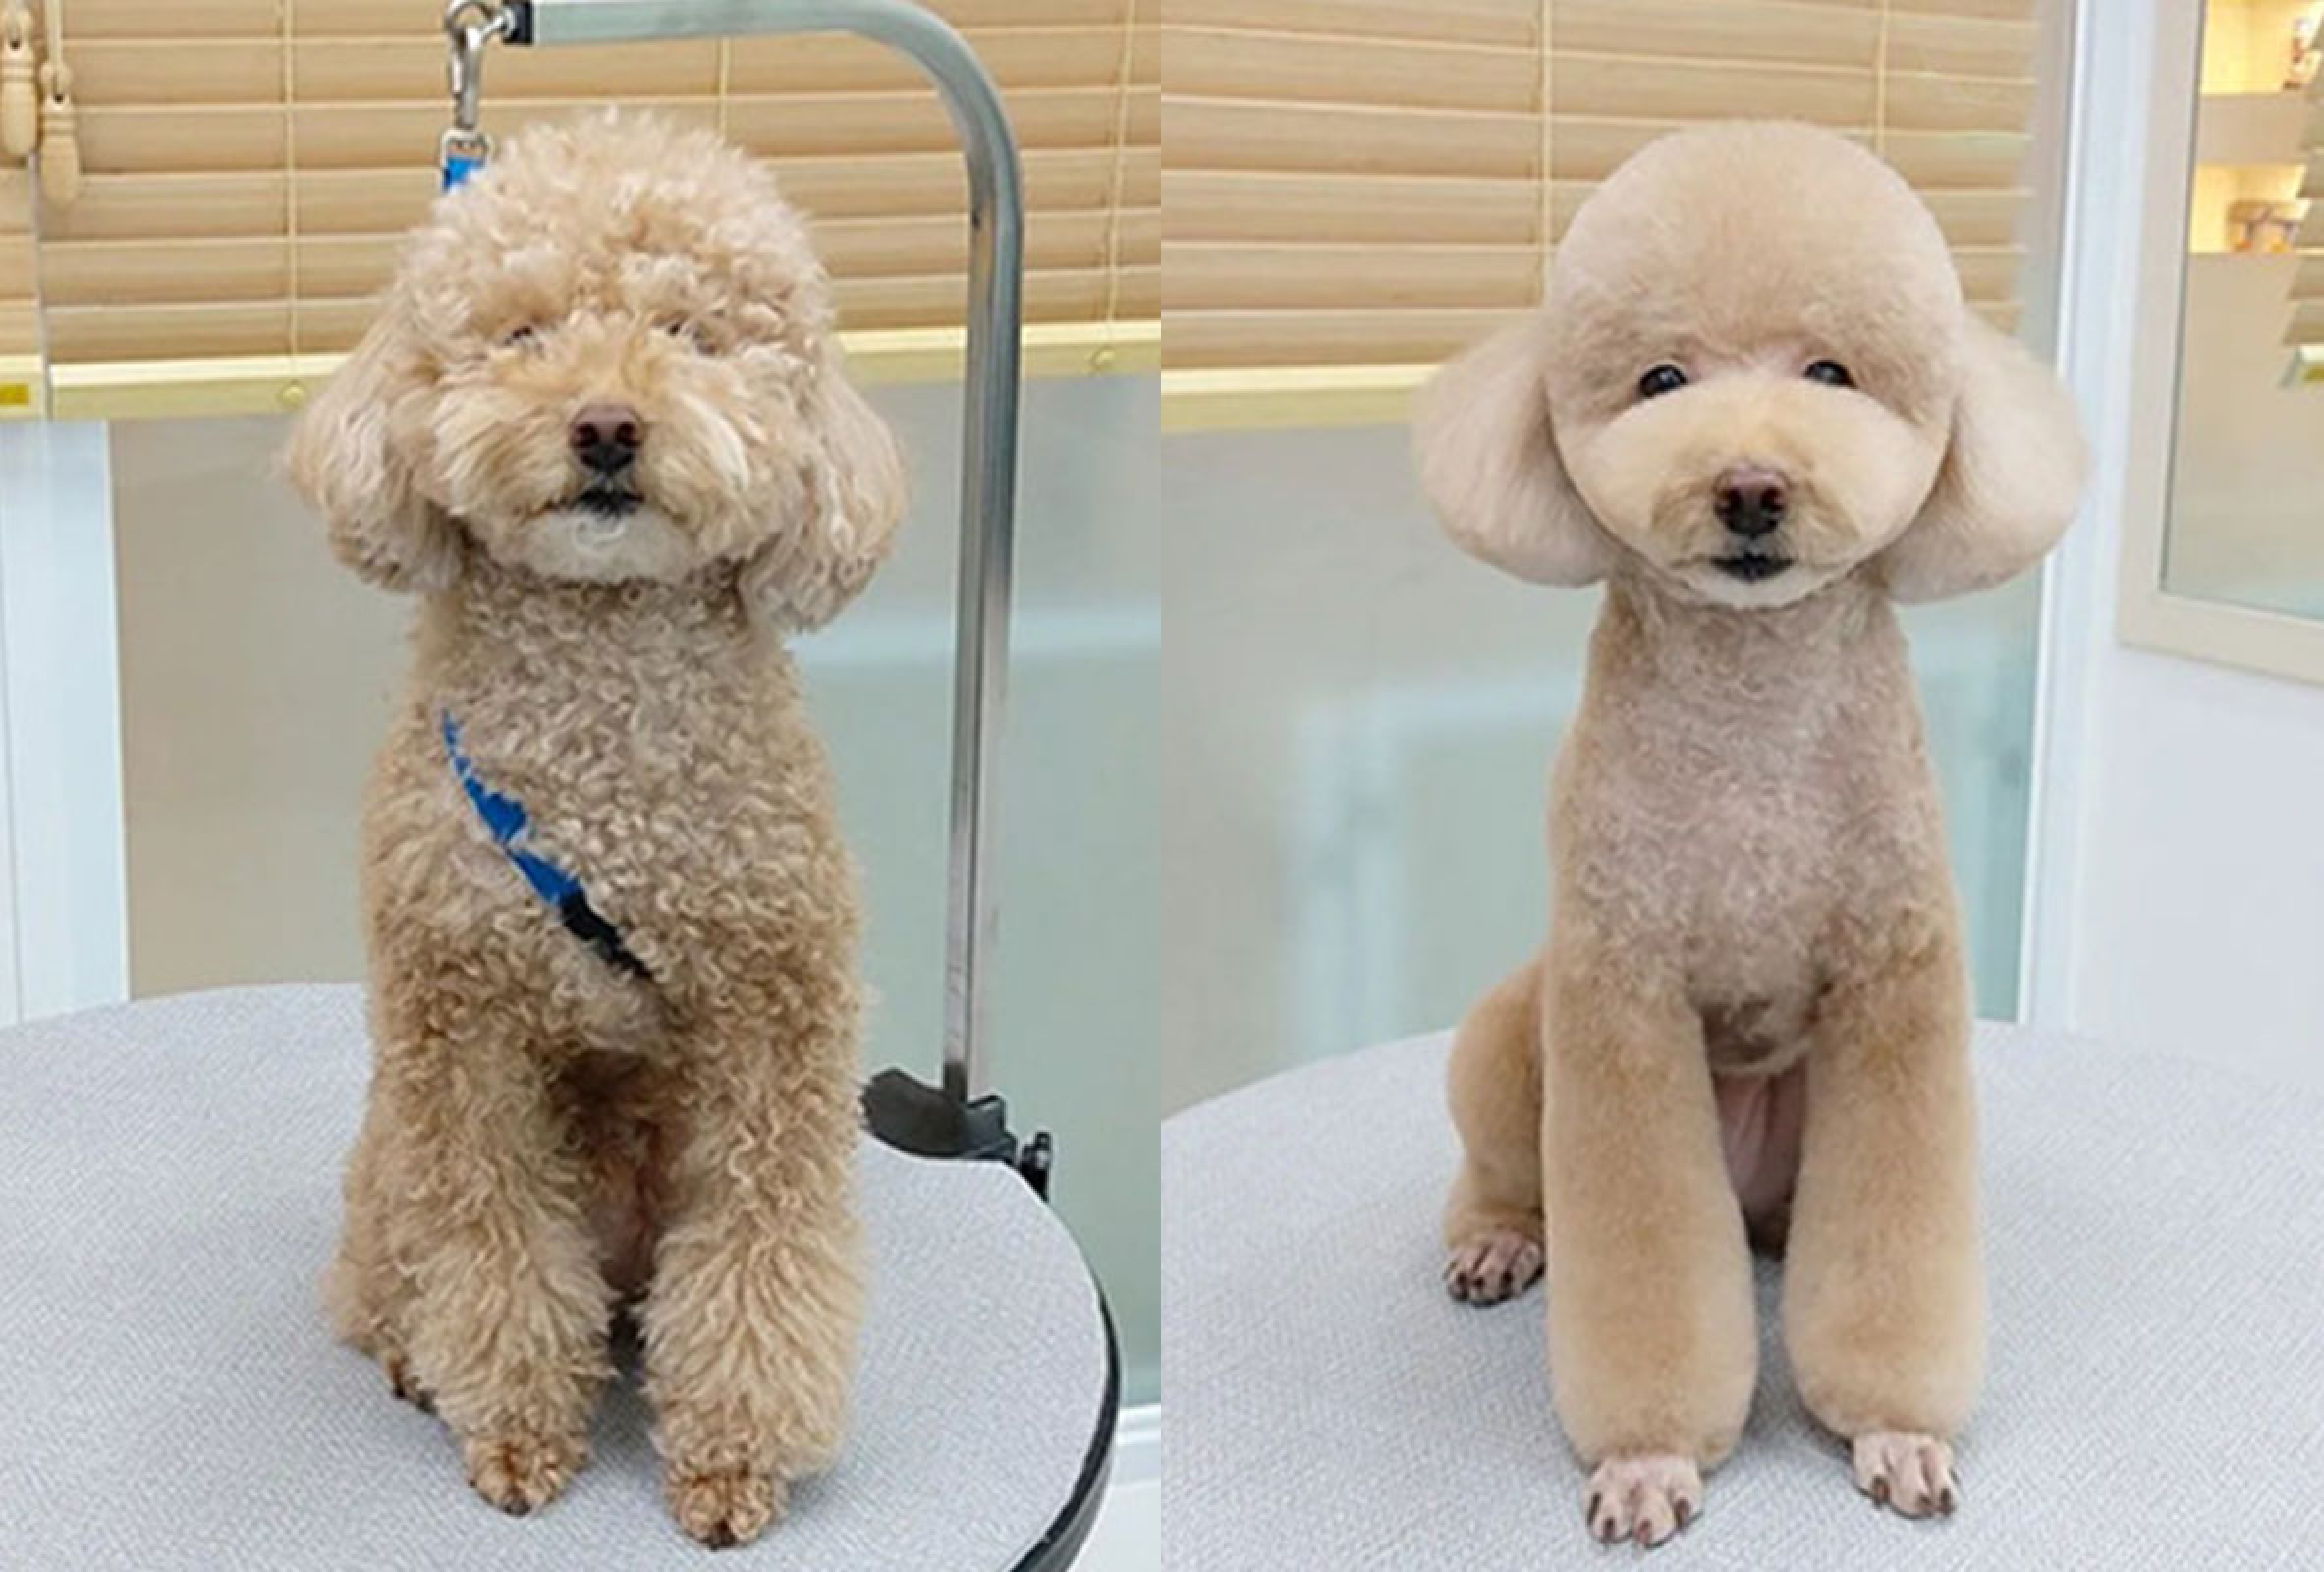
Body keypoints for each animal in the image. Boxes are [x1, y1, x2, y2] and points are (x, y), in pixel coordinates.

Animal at [284, 111, 905, 1548]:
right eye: (522, 334)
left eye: (690, 333)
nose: (607, 424)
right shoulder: (461, 1033)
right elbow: (492, 1242)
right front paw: (514, 1426)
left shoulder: (774, 1020)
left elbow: (761, 1247)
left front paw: (734, 1456)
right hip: (388, 1154)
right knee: (391, 1274)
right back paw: (415, 1357)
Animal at [1413, 121, 2085, 1547]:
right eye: (1660, 378)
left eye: (1830, 373)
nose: (1749, 488)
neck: (1753, 716)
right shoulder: (1619, 998)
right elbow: (1641, 1268)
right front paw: (1646, 1455)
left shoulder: (1897, 986)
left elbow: (1895, 1250)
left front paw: (1893, 1427)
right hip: (1511, 1034)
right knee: (1503, 1164)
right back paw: (1497, 1234)